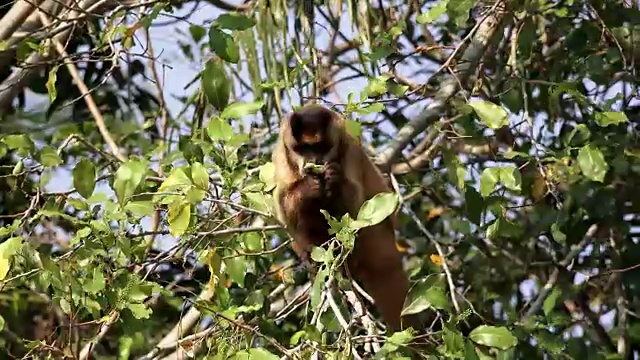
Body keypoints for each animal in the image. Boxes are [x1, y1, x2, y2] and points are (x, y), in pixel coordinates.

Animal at [270, 104, 416, 332]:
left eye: (321, 147)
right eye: (302, 149)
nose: (314, 161)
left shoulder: (351, 149)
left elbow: (356, 210)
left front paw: (334, 178)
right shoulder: (280, 155)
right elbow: (283, 208)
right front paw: (308, 187)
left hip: (376, 237)